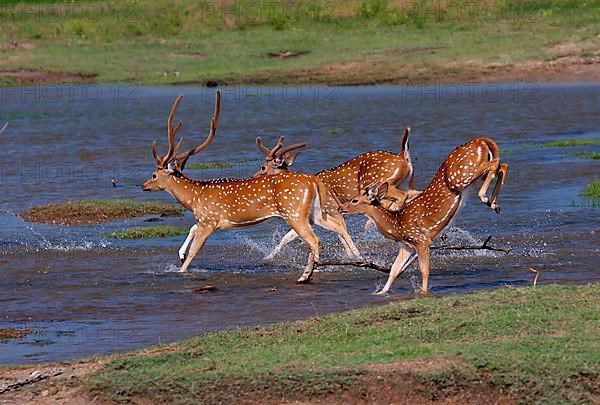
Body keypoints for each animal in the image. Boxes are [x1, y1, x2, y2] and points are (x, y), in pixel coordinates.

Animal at [143, 90, 332, 284]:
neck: (194, 199)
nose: (144, 185)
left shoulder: (208, 221)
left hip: (294, 213)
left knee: (314, 240)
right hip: (314, 212)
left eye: (154, 175)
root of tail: (312, 180)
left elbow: (193, 253)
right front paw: (180, 255)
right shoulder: (204, 221)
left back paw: (306, 275)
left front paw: (181, 270)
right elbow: (191, 231)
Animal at [338, 137, 506, 294]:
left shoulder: (422, 239)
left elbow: (424, 270)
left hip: (461, 176)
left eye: (354, 200)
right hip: (472, 177)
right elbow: (394, 270)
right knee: (501, 166)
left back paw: (485, 197)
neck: (397, 225)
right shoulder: (406, 246)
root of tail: (479, 141)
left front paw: (423, 291)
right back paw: (494, 203)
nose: (340, 208)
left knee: (497, 164)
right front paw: (381, 292)